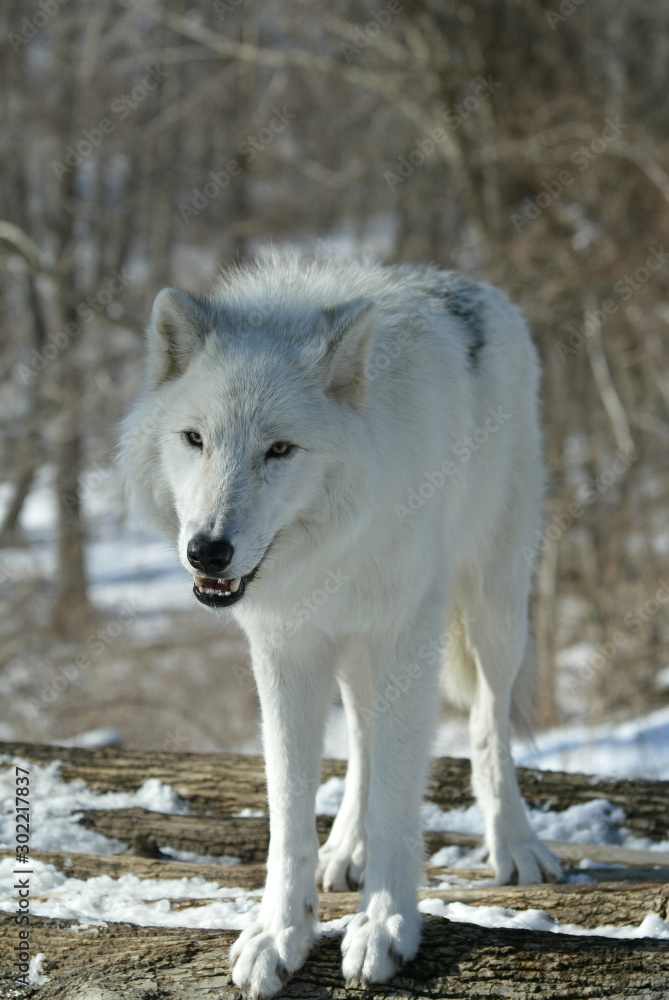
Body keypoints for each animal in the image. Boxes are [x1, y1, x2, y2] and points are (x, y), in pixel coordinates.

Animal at [120, 254, 562, 997]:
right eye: (195, 439)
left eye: (279, 449)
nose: (208, 551)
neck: (330, 547)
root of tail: (473, 287)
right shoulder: (285, 647)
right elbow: (289, 805)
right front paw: (280, 934)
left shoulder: (407, 634)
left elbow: (398, 796)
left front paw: (383, 924)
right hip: (355, 649)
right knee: (360, 735)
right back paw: (345, 849)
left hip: (493, 607)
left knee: (489, 719)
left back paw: (515, 844)